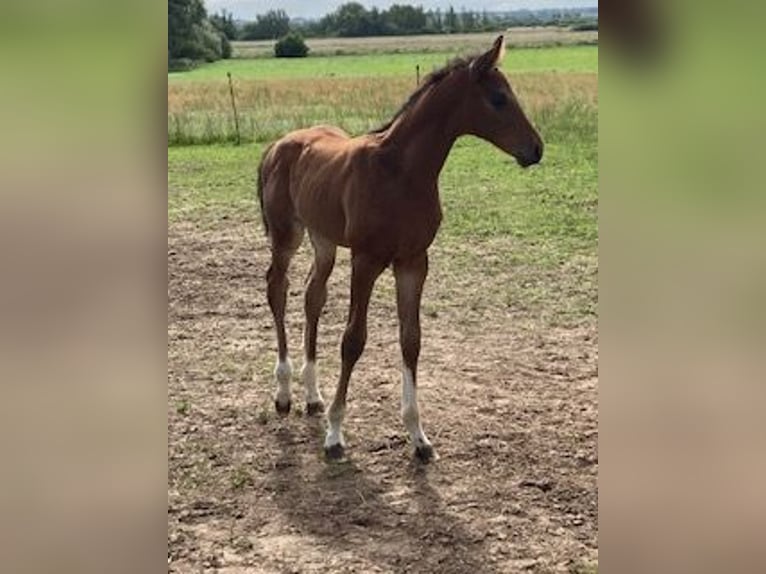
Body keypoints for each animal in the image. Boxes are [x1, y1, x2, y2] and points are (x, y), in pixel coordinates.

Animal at [260, 36, 544, 462]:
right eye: (498, 99)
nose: (536, 149)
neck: (401, 172)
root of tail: (276, 146)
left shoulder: (413, 261)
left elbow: (411, 340)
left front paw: (418, 437)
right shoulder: (366, 260)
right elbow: (352, 340)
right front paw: (335, 434)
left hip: (323, 239)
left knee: (313, 296)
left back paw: (312, 396)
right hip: (285, 235)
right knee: (277, 289)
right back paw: (283, 393)